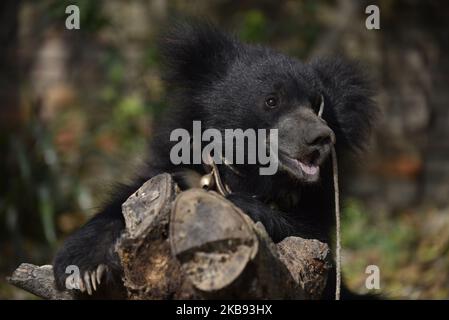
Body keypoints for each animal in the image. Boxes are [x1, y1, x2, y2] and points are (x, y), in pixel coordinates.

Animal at [52, 23, 376, 300]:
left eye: (316, 105)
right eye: (271, 100)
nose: (321, 138)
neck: (250, 173)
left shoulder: (312, 209)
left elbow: (308, 239)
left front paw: (241, 207)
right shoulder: (180, 170)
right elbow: (122, 202)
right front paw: (81, 267)